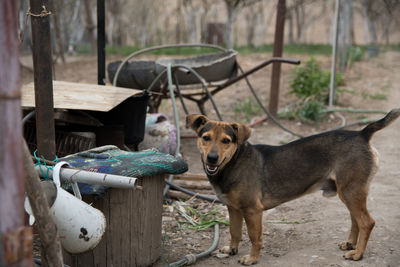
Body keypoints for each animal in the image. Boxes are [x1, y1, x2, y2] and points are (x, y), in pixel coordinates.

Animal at [187, 109, 400, 266]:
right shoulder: (233, 209)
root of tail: (362, 133)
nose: (212, 158)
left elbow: (255, 237)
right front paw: (231, 249)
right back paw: (350, 245)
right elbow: (235, 231)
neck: (233, 163)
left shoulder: (252, 210)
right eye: (205, 137)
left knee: (367, 222)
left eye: (226, 140)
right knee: (356, 220)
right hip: (349, 193)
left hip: (351, 192)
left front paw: (252, 258)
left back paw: (358, 254)